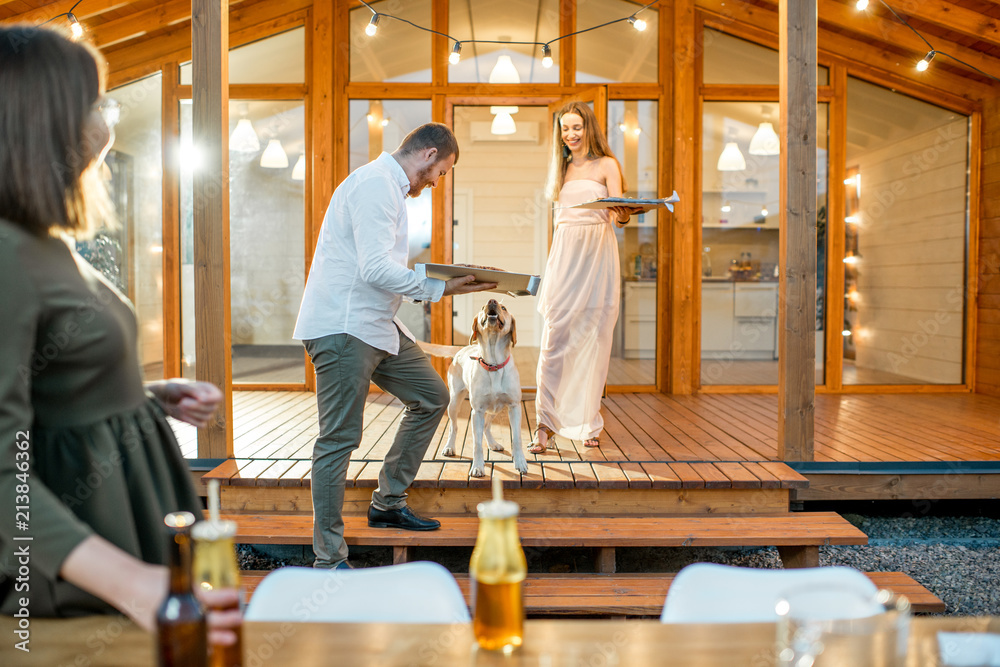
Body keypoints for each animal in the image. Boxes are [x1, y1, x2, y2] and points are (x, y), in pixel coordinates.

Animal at [422, 300, 528, 478]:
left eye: (504, 308)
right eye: (482, 307)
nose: (491, 301)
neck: (494, 363)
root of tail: (462, 348)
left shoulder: (514, 407)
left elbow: (517, 438)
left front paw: (520, 462)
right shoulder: (476, 412)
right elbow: (477, 444)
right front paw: (478, 467)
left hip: (496, 409)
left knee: (486, 427)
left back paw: (493, 443)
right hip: (454, 403)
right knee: (453, 427)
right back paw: (449, 447)